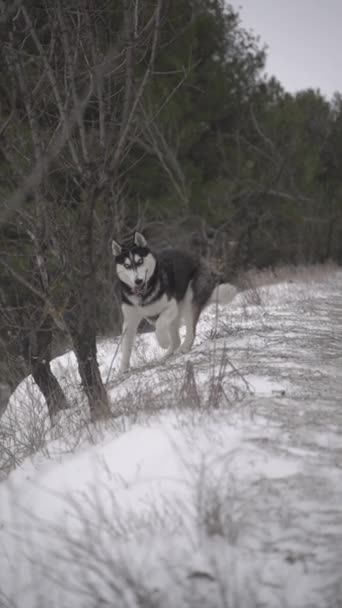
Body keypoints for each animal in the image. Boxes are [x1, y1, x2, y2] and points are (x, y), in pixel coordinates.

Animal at [112, 233, 238, 376]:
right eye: (127, 265)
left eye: (140, 261)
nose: (138, 281)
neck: (144, 294)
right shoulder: (130, 320)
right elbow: (126, 345)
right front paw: (123, 368)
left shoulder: (171, 307)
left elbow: (159, 326)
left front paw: (164, 342)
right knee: (176, 339)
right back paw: (166, 356)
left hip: (188, 301)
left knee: (190, 331)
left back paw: (184, 347)